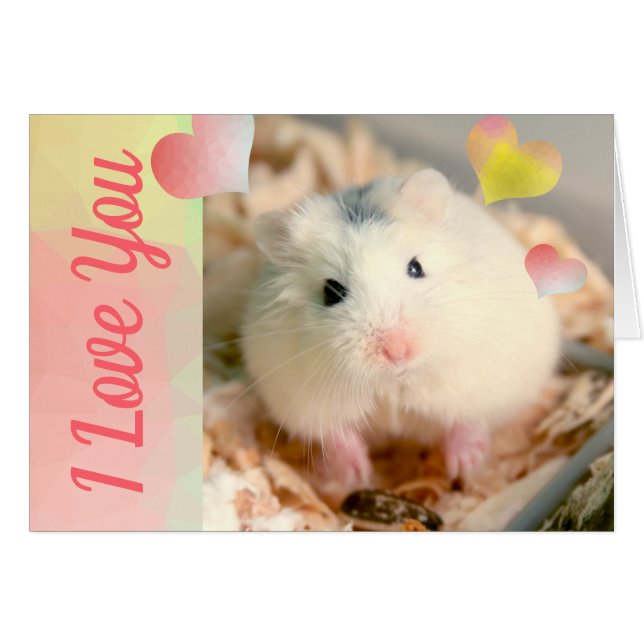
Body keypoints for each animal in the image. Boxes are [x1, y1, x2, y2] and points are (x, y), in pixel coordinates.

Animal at [240, 168, 560, 488]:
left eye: (416, 268)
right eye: (331, 292)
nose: (396, 351)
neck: (394, 382)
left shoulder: (483, 382)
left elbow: (468, 420)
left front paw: (465, 467)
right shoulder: (302, 397)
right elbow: (336, 433)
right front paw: (357, 474)